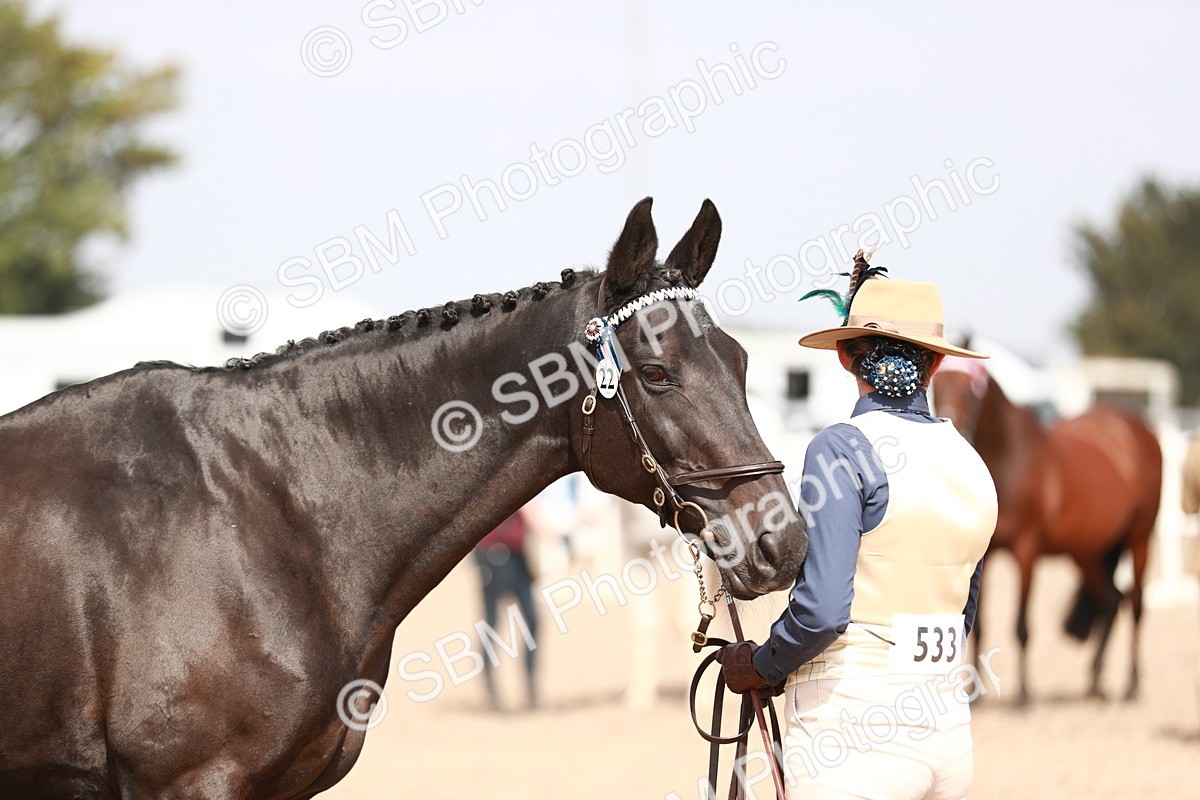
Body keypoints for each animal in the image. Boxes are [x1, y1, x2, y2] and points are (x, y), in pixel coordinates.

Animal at [932, 357, 1162, 705]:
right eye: (935, 387)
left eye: (971, 392)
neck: (1010, 458)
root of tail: (1139, 428)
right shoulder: (987, 556)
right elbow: (981, 624)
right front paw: (974, 694)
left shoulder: (1027, 551)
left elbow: (1021, 625)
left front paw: (1024, 696)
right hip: (1088, 552)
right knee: (1112, 600)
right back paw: (1095, 683)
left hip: (1140, 538)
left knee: (1136, 605)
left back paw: (1131, 686)